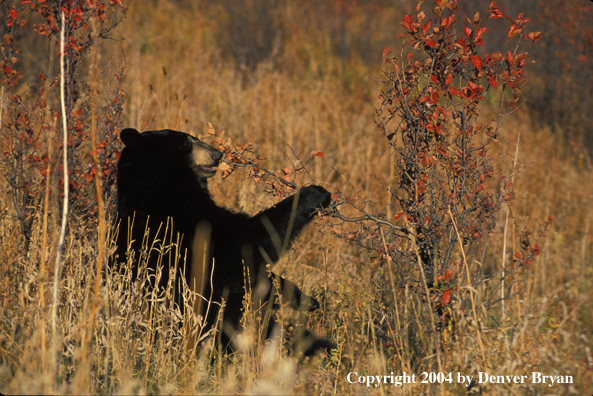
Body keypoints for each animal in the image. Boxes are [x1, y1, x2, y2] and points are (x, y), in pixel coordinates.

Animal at [111, 129, 332, 356]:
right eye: (187, 142)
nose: (217, 154)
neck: (158, 191)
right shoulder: (187, 229)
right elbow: (244, 243)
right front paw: (313, 194)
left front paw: (305, 298)